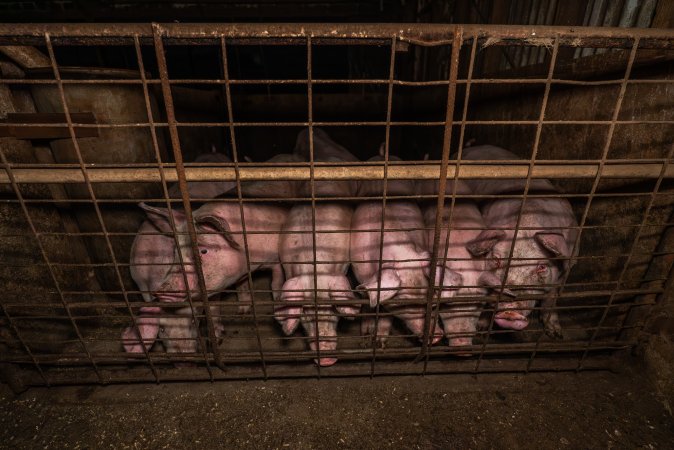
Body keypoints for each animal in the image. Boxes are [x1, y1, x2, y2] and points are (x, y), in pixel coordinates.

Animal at [461, 145, 579, 337]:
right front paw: (481, 329)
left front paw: (555, 333)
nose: (509, 310)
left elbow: (551, 299)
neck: (526, 222)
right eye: (496, 259)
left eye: (541, 266)